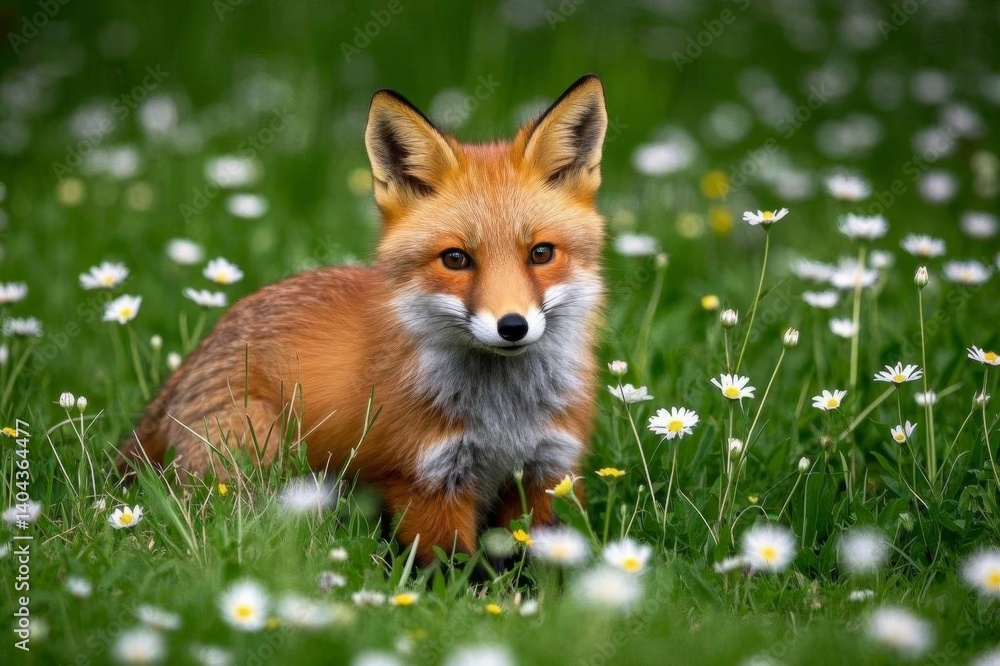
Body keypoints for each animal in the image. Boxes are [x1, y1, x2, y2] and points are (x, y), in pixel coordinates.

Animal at [117, 74, 609, 564]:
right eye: (455, 259)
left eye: (541, 253)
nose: (512, 327)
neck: (504, 422)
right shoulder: (425, 483)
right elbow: (454, 570)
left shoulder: (549, 473)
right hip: (260, 449)